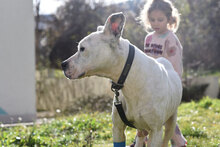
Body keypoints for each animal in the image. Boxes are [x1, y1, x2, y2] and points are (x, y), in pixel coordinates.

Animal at [62, 12, 182, 147]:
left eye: (82, 49)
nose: (63, 64)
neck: (132, 79)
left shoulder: (156, 131)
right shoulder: (117, 129)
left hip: (170, 123)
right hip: (141, 130)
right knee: (140, 137)